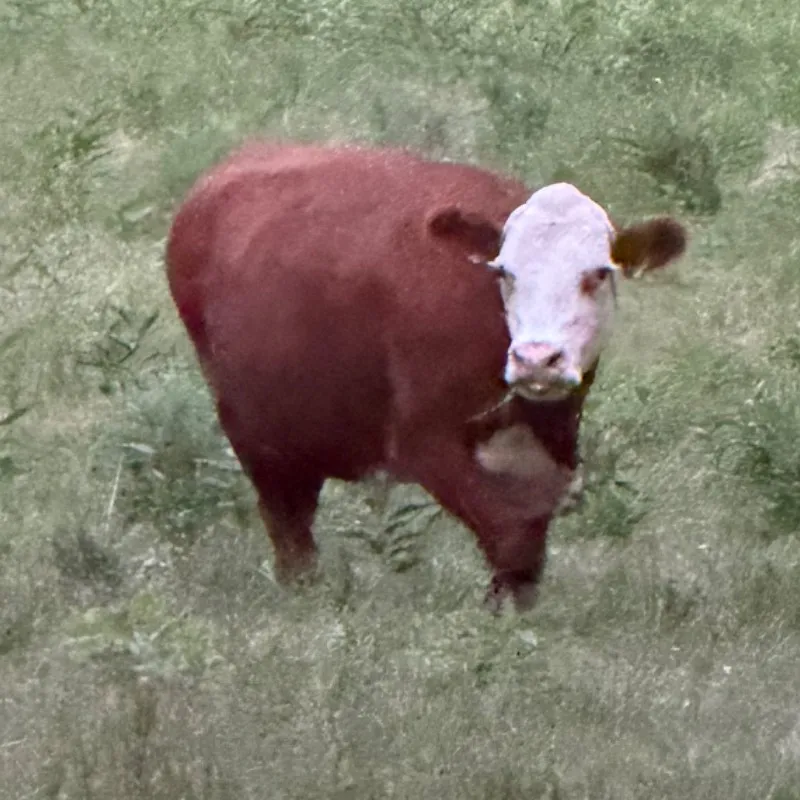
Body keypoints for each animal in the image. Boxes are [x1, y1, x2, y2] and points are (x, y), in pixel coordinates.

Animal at [165, 140, 687, 612]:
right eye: (505, 272)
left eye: (598, 273)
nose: (537, 359)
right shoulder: (426, 442)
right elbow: (510, 534)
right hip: (255, 431)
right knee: (288, 524)